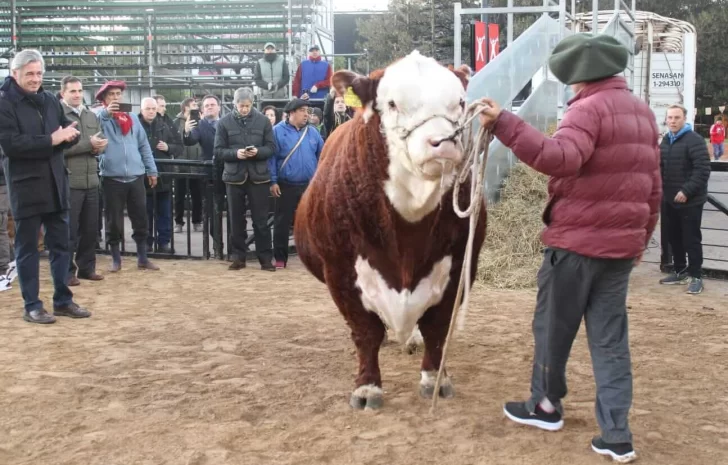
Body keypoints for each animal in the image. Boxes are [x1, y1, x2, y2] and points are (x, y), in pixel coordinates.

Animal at [292, 49, 486, 406]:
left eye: (460, 102)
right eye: (393, 103)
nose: (443, 142)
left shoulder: (458, 265)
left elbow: (437, 328)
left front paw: (434, 379)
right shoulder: (340, 271)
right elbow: (365, 331)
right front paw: (367, 387)